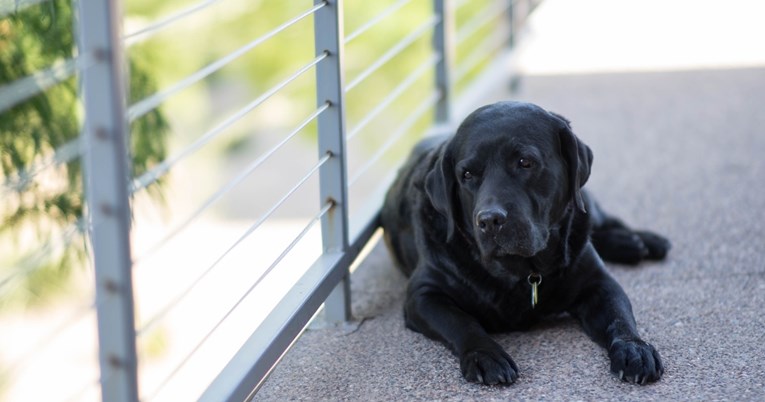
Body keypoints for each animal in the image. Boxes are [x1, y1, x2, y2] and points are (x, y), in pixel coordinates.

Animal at [380, 101, 668, 386]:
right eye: (467, 174)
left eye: (525, 162)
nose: (489, 220)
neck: (521, 272)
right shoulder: (423, 295)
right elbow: (461, 322)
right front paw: (486, 355)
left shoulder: (598, 282)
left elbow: (619, 318)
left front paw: (634, 349)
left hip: (586, 207)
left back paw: (643, 241)